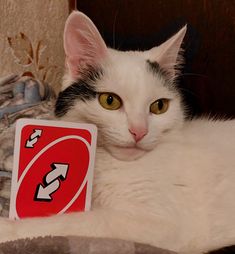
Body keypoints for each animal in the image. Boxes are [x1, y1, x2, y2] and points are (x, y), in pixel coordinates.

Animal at [0, 10, 235, 254]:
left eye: (159, 106)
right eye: (110, 101)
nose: (139, 131)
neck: (110, 163)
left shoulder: (164, 225)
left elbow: (77, 222)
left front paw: (9, 229)